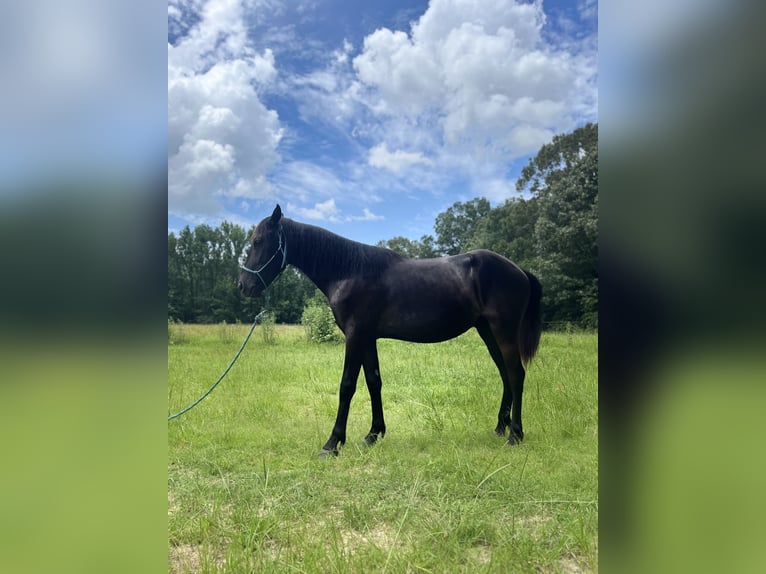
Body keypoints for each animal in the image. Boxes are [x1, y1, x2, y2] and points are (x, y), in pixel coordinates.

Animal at [240, 206, 544, 460]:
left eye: (258, 242)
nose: (243, 286)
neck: (348, 271)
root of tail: (519, 270)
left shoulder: (355, 336)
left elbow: (347, 386)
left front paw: (332, 444)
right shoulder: (367, 338)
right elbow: (374, 381)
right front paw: (373, 434)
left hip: (503, 332)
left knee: (516, 374)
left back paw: (515, 434)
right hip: (488, 332)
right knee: (505, 374)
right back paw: (500, 428)